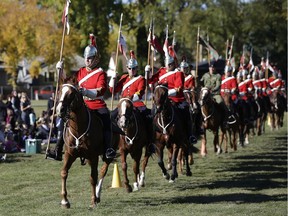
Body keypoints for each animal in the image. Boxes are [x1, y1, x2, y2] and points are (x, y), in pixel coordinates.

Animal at [55, 76, 114, 209]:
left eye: (71, 94)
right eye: (60, 91)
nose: (60, 110)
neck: (78, 128)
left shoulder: (93, 156)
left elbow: (93, 177)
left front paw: (93, 200)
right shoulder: (69, 155)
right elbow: (64, 173)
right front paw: (65, 201)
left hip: (106, 155)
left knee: (102, 171)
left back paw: (97, 195)